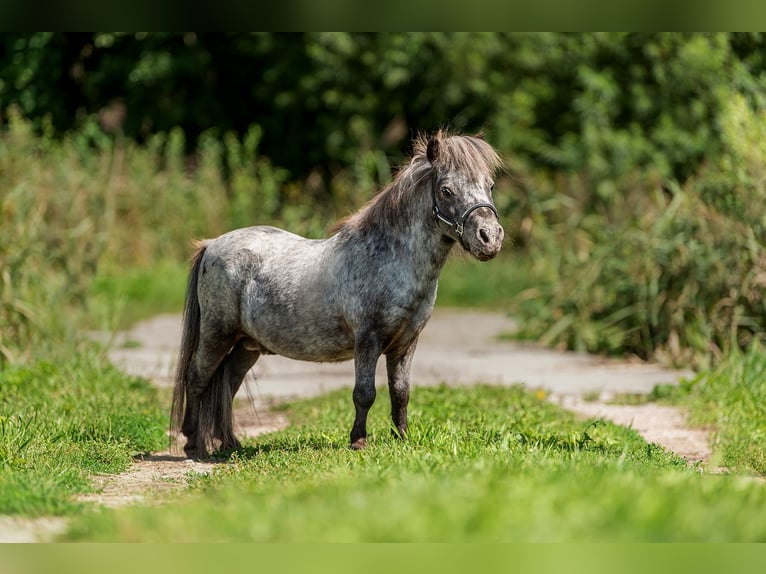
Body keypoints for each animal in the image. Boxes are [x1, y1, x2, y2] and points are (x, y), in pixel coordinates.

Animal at [172, 130, 508, 460]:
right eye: (447, 190)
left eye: (490, 185)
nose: (490, 238)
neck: (388, 259)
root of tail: (212, 245)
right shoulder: (367, 340)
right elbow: (365, 393)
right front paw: (358, 441)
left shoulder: (405, 344)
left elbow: (401, 392)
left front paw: (401, 438)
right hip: (217, 333)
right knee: (197, 377)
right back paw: (193, 445)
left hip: (246, 345)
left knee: (228, 383)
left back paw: (230, 444)